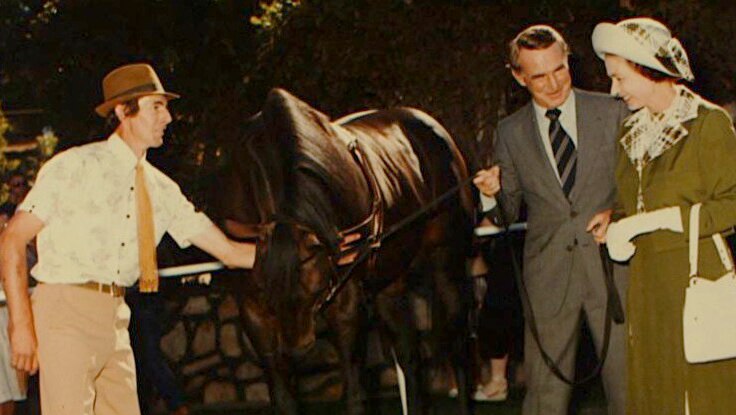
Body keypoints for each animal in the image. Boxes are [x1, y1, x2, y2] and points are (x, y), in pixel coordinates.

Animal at [218, 89, 474, 414]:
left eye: (315, 288)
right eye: (266, 290)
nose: (296, 351)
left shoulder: (346, 303)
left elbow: (354, 391)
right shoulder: (253, 311)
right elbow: (282, 397)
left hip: (447, 258)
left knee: (458, 342)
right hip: (389, 282)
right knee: (409, 355)